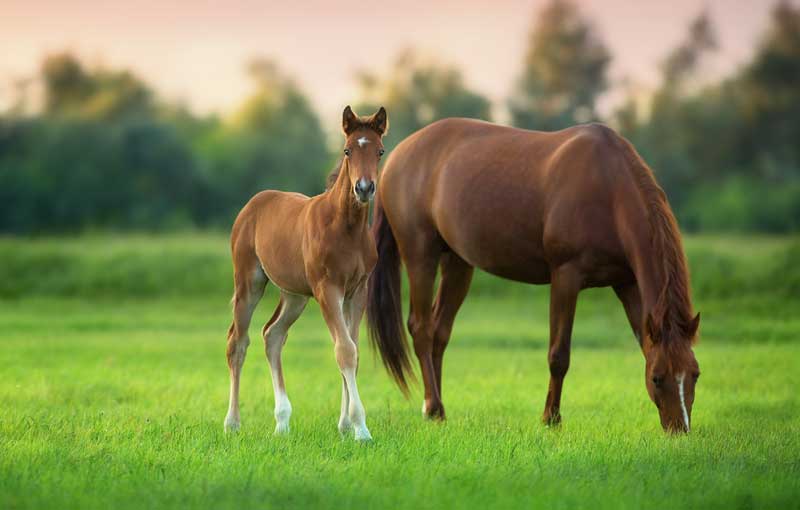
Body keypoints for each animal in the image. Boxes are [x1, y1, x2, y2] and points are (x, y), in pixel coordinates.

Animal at [225, 105, 388, 440]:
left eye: (379, 150)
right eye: (347, 150)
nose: (364, 188)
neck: (346, 228)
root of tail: (254, 203)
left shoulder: (357, 291)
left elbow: (353, 351)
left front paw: (345, 426)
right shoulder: (328, 289)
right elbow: (344, 350)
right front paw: (361, 429)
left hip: (294, 295)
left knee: (272, 335)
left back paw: (282, 422)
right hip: (249, 282)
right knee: (238, 342)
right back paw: (232, 423)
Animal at [368, 117, 700, 432]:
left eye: (695, 375)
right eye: (657, 378)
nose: (679, 429)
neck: (609, 189)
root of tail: (396, 155)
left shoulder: (627, 283)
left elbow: (643, 344)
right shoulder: (566, 276)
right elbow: (559, 355)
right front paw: (550, 418)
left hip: (458, 262)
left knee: (439, 331)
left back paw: (435, 409)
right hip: (420, 255)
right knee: (422, 328)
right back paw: (433, 406)